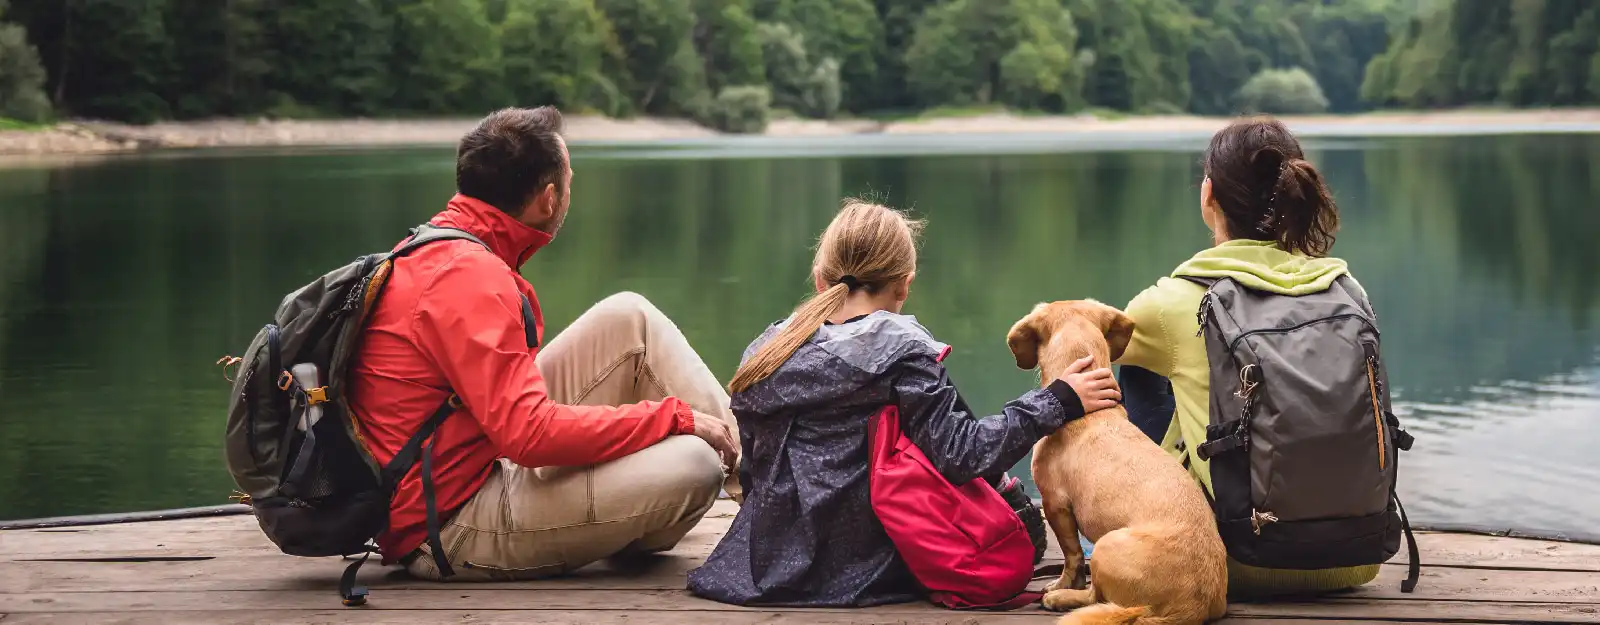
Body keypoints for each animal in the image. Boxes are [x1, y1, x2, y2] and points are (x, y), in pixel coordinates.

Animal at [1004, 300, 1228, 625]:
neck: (1090, 412)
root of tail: (1189, 608)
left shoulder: (1055, 504)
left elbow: (1072, 557)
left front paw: (1060, 585)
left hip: (1105, 546)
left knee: (1094, 596)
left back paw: (1060, 599)